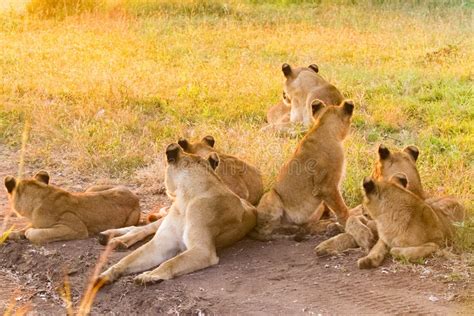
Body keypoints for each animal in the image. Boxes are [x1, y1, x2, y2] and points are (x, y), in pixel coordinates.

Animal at [4, 172, 141, 243]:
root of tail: (135, 196)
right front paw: (13, 234)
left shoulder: (76, 228)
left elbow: (38, 233)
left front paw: (27, 233)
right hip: (91, 189)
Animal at [96, 144, 258, 286]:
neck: (184, 199)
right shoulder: (160, 244)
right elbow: (128, 259)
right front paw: (105, 275)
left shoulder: (203, 250)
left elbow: (171, 262)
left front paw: (149, 275)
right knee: (142, 228)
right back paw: (114, 238)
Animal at [250, 99, 354, 239]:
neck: (322, 127)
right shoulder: (327, 187)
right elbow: (342, 209)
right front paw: (348, 224)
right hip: (271, 195)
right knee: (266, 232)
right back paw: (291, 230)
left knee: (306, 225)